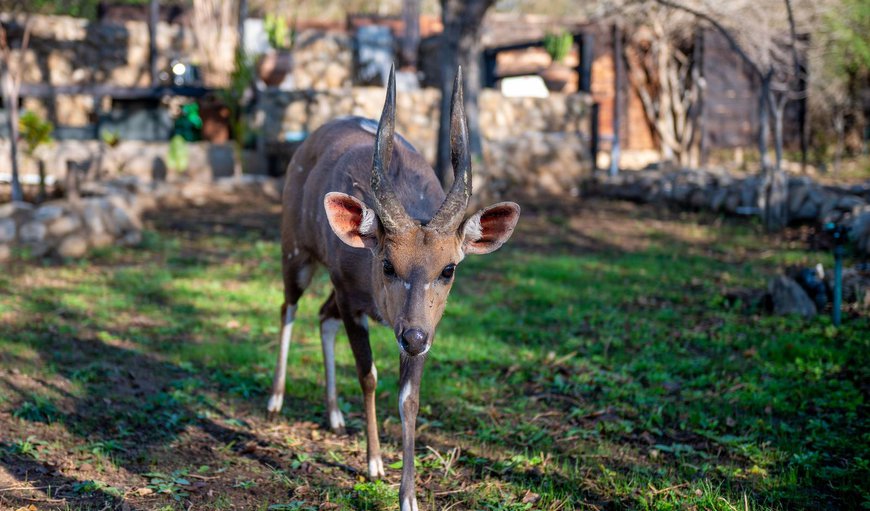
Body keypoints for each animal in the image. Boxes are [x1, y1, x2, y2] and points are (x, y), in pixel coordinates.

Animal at [270, 66, 520, 510]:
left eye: (448, 269)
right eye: (387, 264)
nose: (414, 338)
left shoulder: (424, 326)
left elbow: (409, 398)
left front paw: (409, 498)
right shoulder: (352, 300)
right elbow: (368, 375)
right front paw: (373, 465)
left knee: (321, 315)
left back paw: (335, 416)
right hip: (296, 253)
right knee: (290, 308)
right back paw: (276, 400)